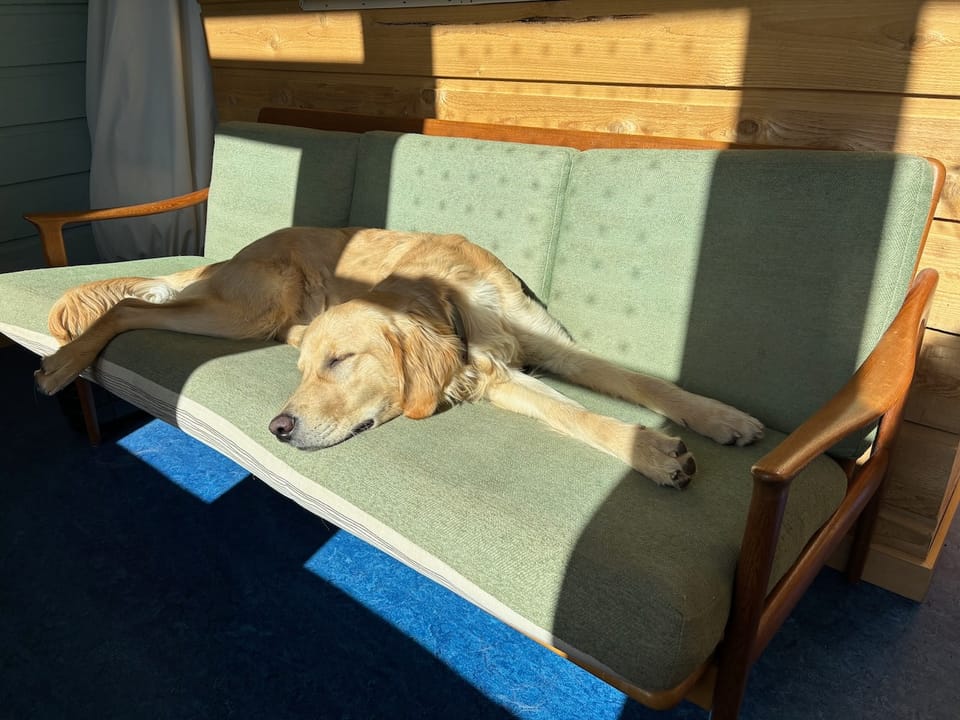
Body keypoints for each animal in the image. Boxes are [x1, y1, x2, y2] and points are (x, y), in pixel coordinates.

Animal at [33, 229, 760, 490]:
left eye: (339, 362)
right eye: (306, 371)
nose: (278, 428)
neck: (452, 297)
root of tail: (232, 254)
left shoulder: (551, 348)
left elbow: (646, 385)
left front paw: (720, 418)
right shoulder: (495, 377)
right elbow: (579, 415)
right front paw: (656, 453)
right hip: (253, 306)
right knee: (129, 307)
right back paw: (64, 364)